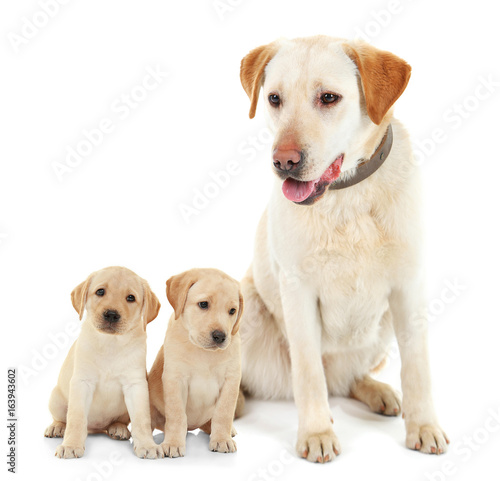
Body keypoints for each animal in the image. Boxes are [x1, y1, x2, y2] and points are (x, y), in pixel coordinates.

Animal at [44, 266, 162, 458]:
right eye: (100, 291)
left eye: (131, 298)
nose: (112, 315)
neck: (111, 343)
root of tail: (97, 429)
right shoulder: (82, 383)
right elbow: (76, 419)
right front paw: (71, 445)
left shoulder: (136, 386)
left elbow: (141, 419)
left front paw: (147, 445)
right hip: (56, 398)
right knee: (63, 418)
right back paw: (57, 427)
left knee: (118, 422)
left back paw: (118, 428)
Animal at [147, 268, 243, 456]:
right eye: (203, 304)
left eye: (232, 310)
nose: (220, 336)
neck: (203, 353)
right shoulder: (175, 379)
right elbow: (177, 416)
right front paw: (173, 443)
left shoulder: (231, 380)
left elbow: (224, 413)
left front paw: (222, 439)